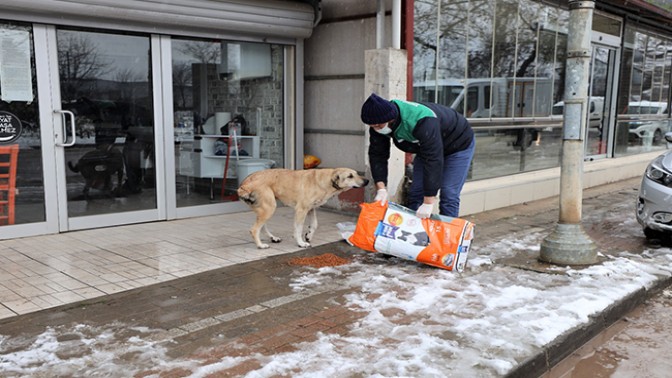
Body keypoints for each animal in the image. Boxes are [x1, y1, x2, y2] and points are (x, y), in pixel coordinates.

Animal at [239, 168, 370, 248]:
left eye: (357, 173)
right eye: (350, 176)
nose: (367, 180)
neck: (325, 180)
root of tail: (244, 184)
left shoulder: (311, 209)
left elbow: (314, 224)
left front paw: (309, 235)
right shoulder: (301, 210)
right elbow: (298, 228)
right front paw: (301, 243)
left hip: (266, 208)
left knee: (262, 226)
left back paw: (273, 238)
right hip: (269, 207)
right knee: (254, 229)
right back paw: (260, 245)